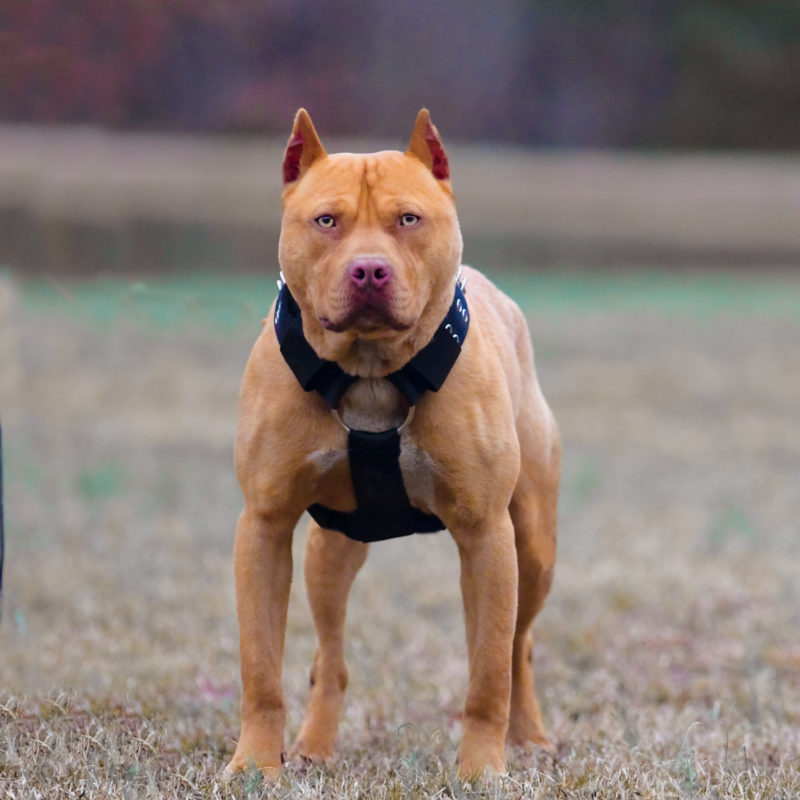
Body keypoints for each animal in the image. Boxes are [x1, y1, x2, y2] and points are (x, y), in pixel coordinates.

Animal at [228, 109, 560, 780]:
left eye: (408, 219)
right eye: (326, 221)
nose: (369, 270)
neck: (371, 370)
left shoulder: (487, 534)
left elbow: (489, 671)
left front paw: (481, 770)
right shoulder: (265, 527)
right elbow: (261, 668)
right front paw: (253, 765)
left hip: (532, 547)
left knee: (517, 647)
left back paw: (529, 737)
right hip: (329, 552)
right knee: (329, 657)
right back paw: (315, 745)